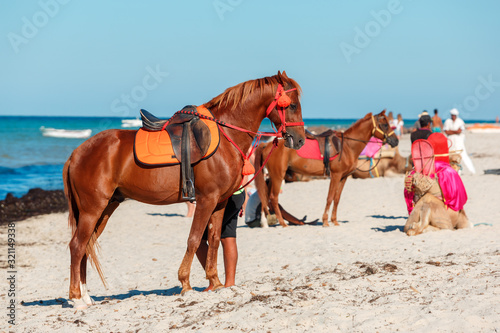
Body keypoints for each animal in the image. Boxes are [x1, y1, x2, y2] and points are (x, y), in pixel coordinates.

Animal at [62, 70, 304, 308]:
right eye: (292, 105)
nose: (299, 140)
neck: (225, 138)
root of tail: (76, 153)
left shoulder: (220, 202)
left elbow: (214, 239)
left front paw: (216, 283)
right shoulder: (207, 199)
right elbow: (194, 239)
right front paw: (186, 284)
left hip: (105, 209)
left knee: (86, 246)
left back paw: (85, 296)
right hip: (92, 209)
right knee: (77, 245)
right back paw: (76, 298)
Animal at [256, 110, 396, 227]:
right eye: (385, 125)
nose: (395, 140)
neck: (347, 146)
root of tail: (267, 144)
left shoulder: (343, 177)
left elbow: (336, 199)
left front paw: (334, 220)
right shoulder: (335, 175)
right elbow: (329, 197)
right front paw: (325, 221)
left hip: (272, 177)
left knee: (265, 197)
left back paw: (266, 223)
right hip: (278, 176)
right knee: (273, 198)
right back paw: (282, 223)